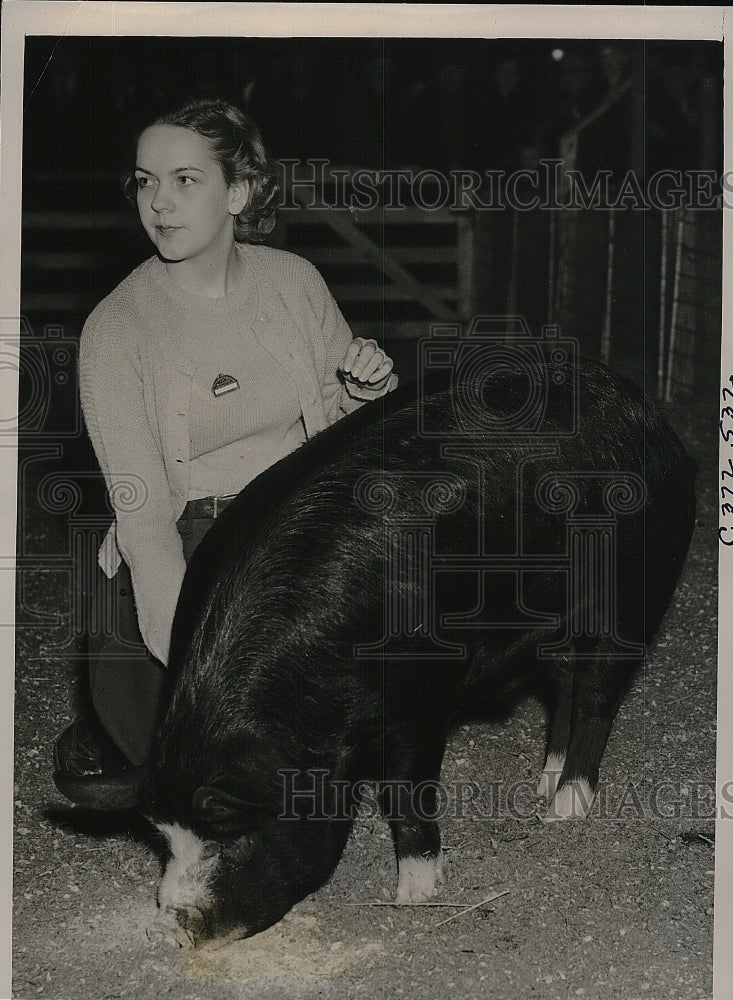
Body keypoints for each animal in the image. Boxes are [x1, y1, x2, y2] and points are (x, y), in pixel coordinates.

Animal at [54, 358, 696, 944]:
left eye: (232, 836)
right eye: (164, 840)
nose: (173, 928)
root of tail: (647, 411)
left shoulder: (421, 692)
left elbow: (407, 790)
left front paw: (414, 895)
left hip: (639, 588)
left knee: (597, 694)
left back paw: (565, 808)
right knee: (565, 684)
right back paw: (546, 782)